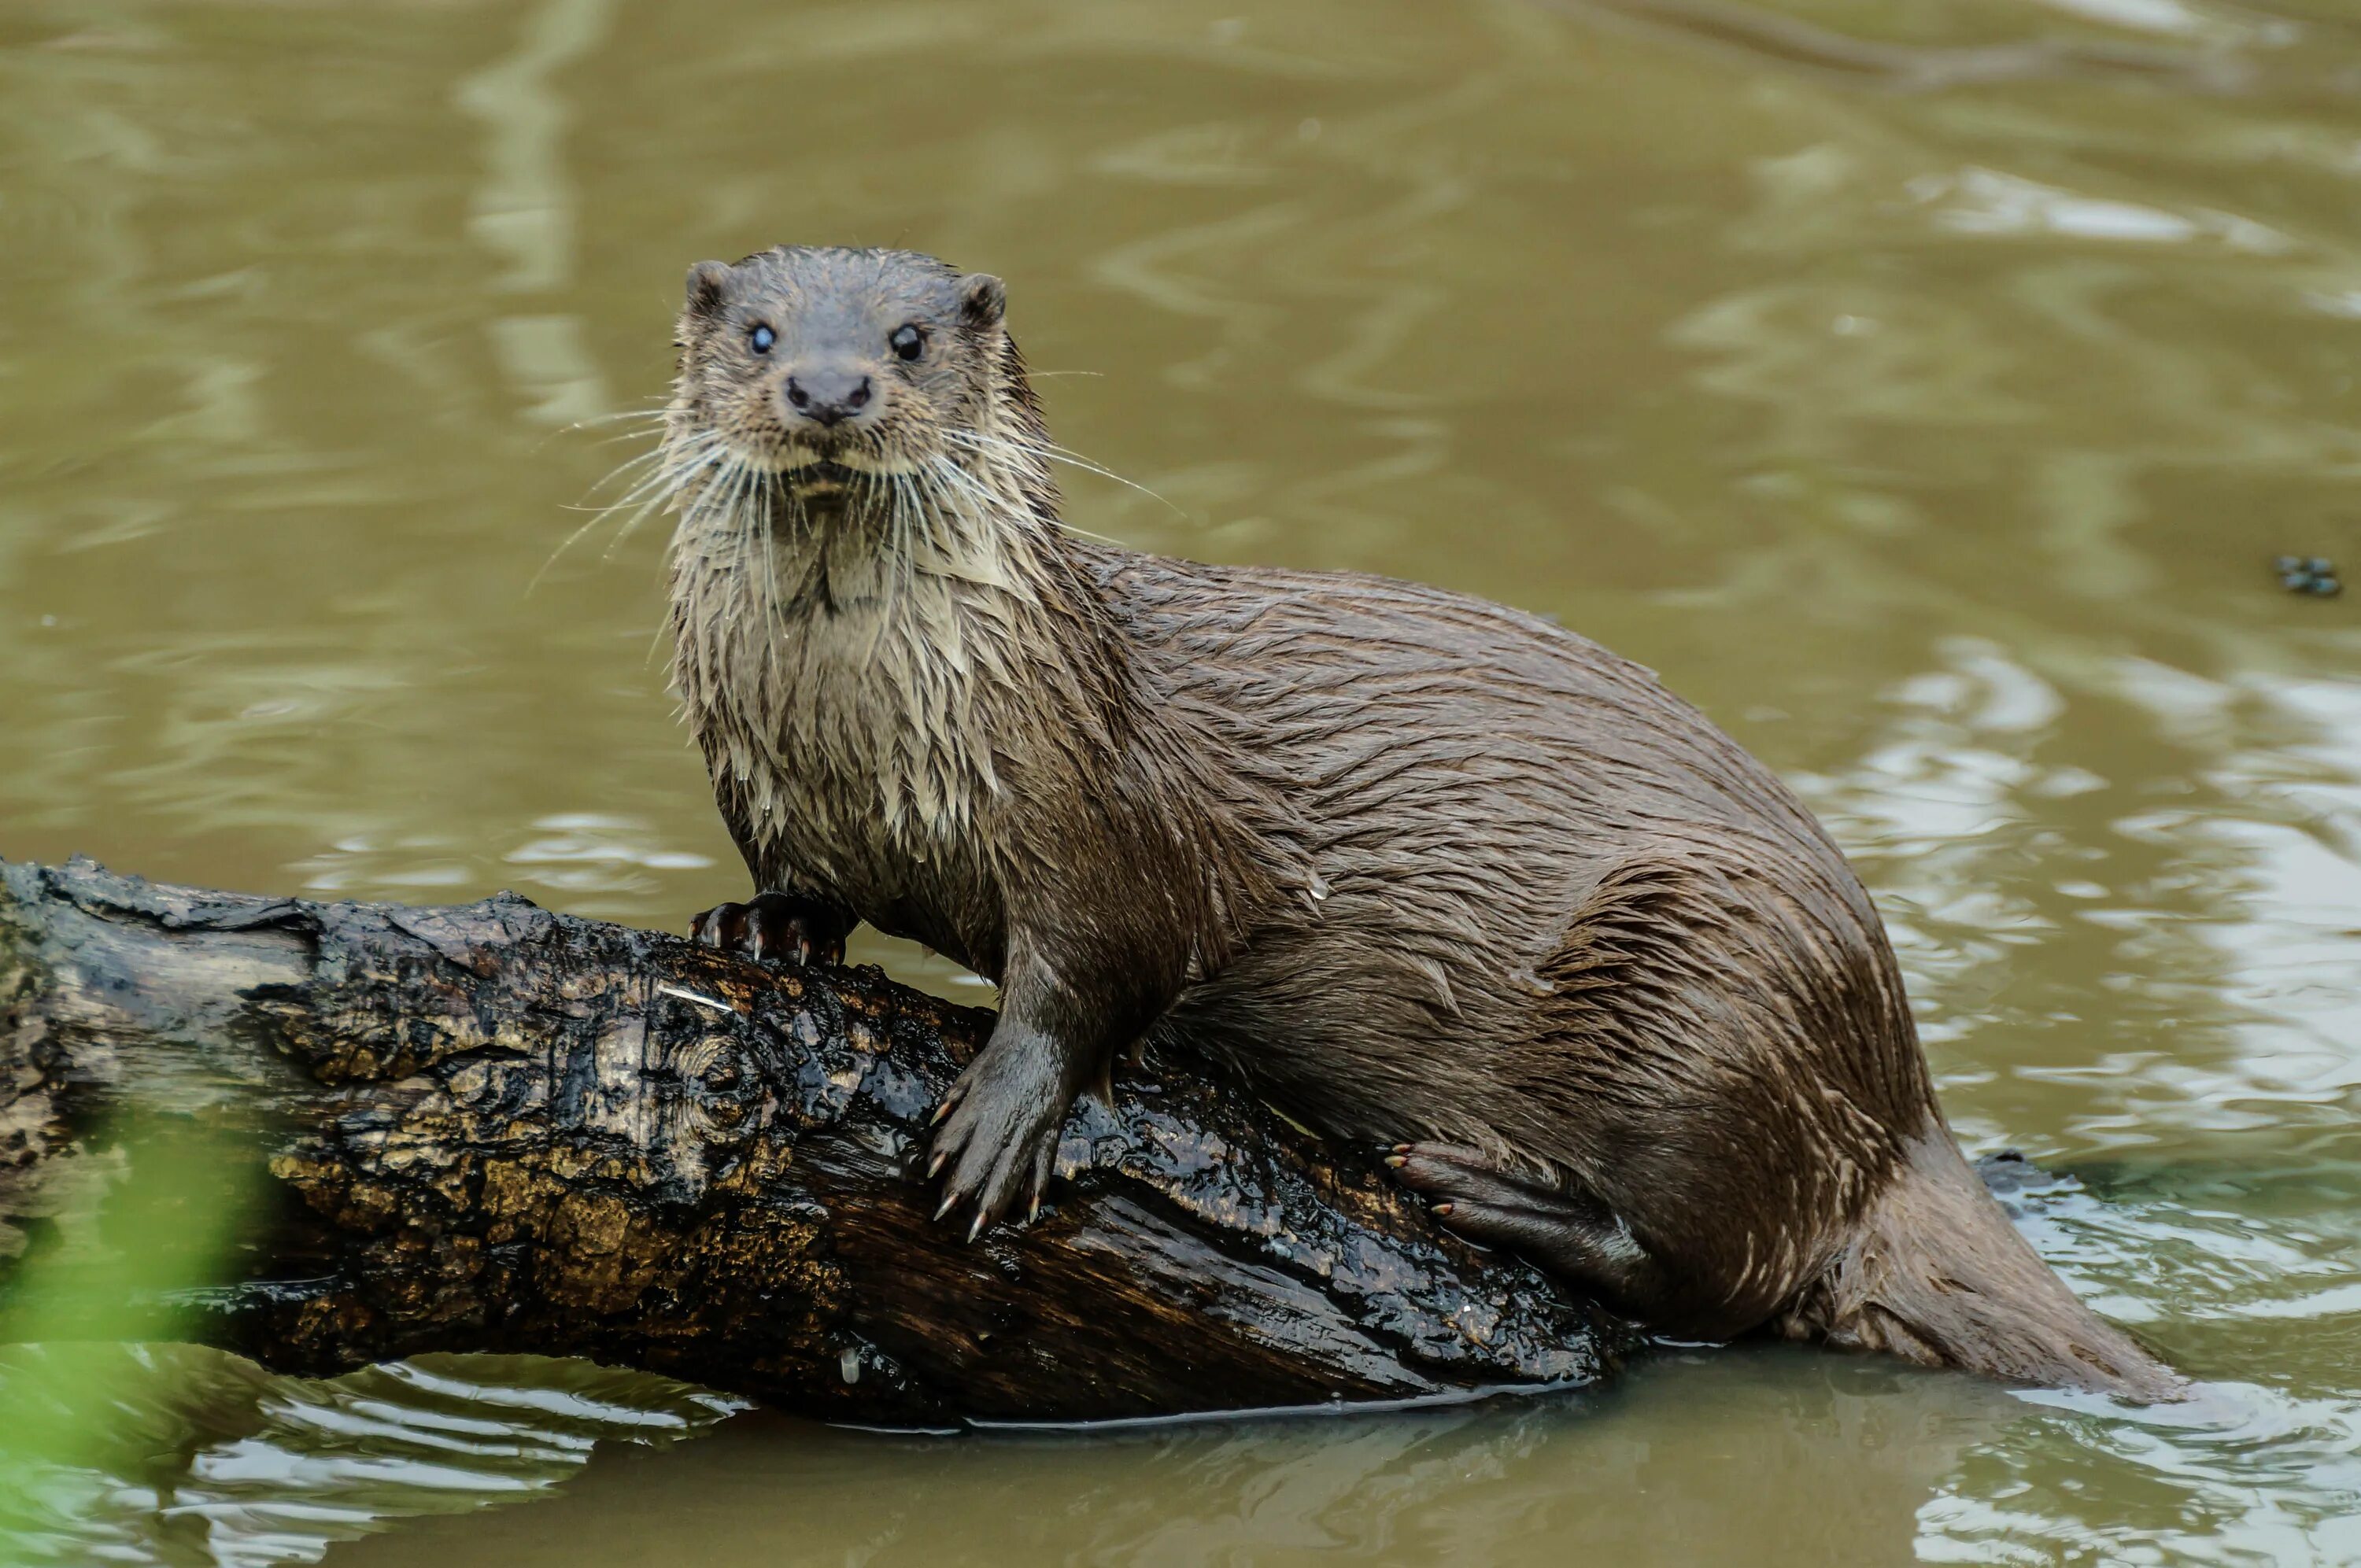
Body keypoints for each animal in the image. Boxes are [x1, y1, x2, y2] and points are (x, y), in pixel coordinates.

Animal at [656, 245, 2182, 1397]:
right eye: (761, 331)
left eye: (908, 339)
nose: (830, 385)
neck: (865, 740)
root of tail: (1898, 1090)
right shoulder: (772, 790)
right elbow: (798, 881)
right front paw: (760, 925)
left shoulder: (1101, 811)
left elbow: (1095, 970)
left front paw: (1001, 1116)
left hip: (1717, 982)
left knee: (1721, 1270)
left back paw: (1504, 1195)